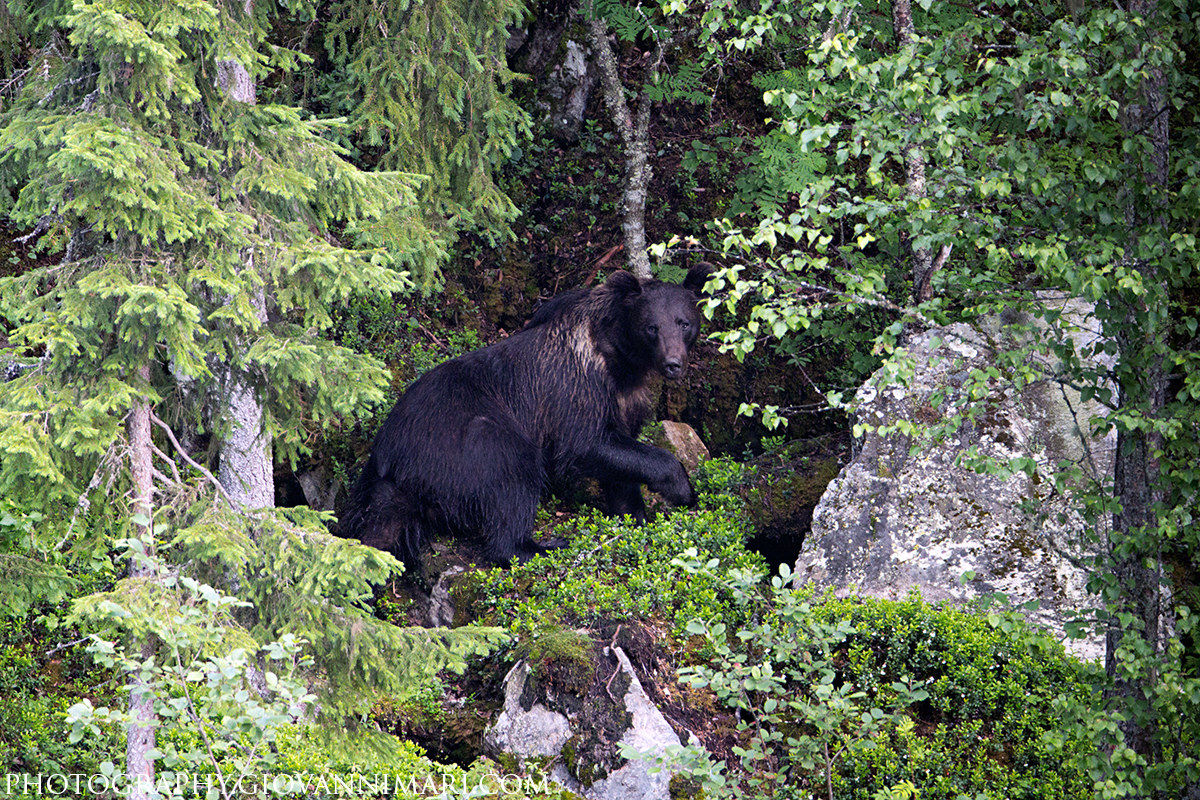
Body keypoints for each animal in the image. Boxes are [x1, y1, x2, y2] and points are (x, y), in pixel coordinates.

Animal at [338, 264, 710, 570]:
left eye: (684, 323)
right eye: (652, 327)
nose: (673, 363)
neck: (621, 362)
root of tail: (390, 458)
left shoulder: (623, 402)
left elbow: (621, 461)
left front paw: (634, 513)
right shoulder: (576, 390)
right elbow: (583, 447)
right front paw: (682, 488)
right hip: (465, 439)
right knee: (511, 476)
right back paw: (541, 546)